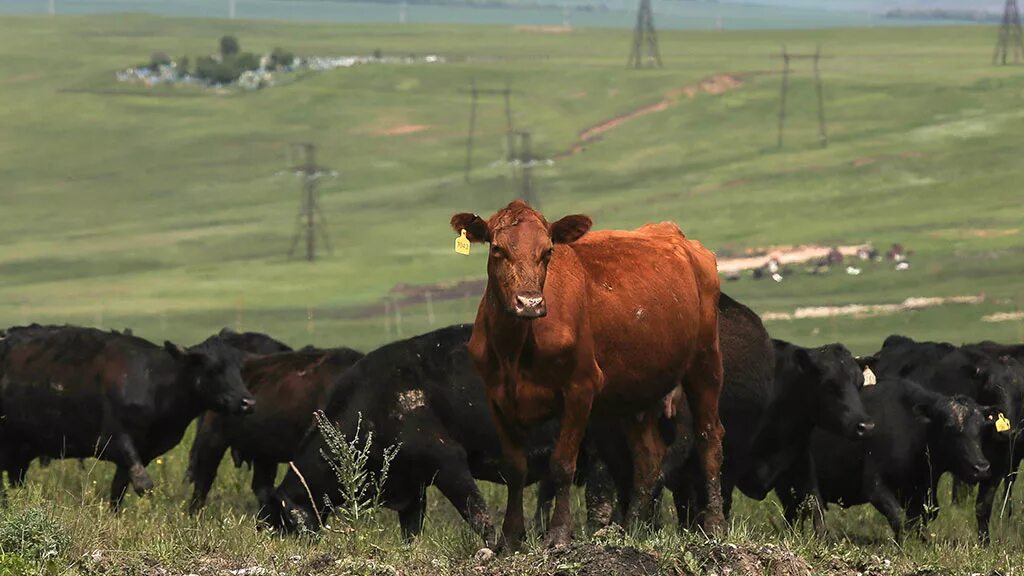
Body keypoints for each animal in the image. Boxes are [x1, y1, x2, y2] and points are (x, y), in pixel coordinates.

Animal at [0, 323, 254, 506]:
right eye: (212, 369)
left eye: (239, 368)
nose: (247, 402)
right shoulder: (114, 440)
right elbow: (144, 485)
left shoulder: (144, 451)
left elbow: (119, 489)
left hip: (21, 448)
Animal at [452, 200, 724, 545]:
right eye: (498, 249)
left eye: (548, 251)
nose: (529, 302)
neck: (515, 349)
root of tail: (674, 234)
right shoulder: (496, 398)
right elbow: (515, 468)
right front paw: (511, 539)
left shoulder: (580, 388)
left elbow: (561, 464)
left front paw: (558, 534)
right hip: (635, 388)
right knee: (649, 456)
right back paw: (633, 527)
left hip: (705, 360)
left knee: (708, 437)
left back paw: (714, 524)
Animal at [778, 377, 995, 537]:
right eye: (949, 428)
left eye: (982, 429)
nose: (981, 467)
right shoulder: (875, 486)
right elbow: (898, 518)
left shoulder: (921, 492)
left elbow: (918, 522)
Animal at [872, 334, 1024, 541]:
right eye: (991, 391)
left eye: (1021, 395)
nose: (1008, 433)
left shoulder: (997, 466)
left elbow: (983, 507)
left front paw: (984, 542)